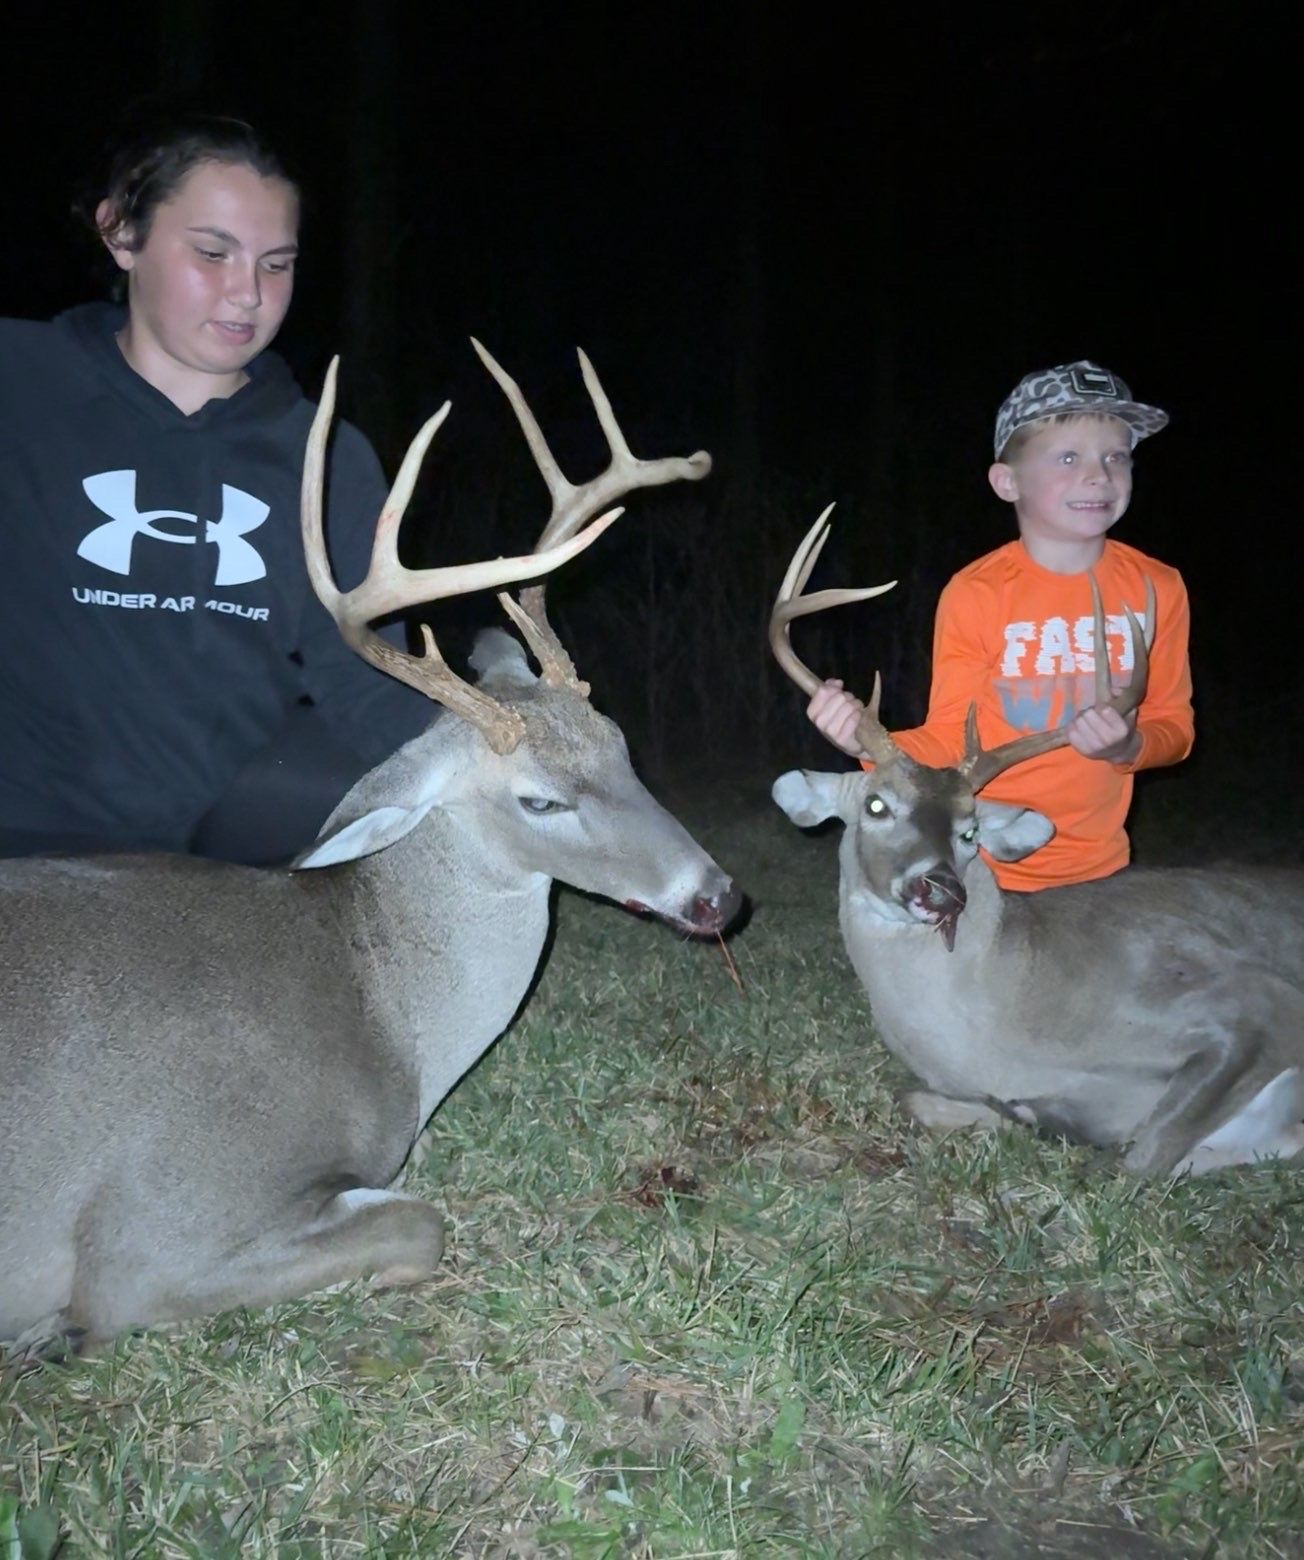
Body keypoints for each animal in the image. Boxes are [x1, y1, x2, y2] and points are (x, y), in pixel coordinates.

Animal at [0, 341, 741, 1351]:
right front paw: (49, 1337)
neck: (385, 1010)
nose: (719, 896)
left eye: (623, 744)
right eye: (540, 800)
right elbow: (419, 1220)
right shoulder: (152, 1232)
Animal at [768, 509, 1304, 1178]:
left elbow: (1139, 1156)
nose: (938, 889)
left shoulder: (1255, 1002)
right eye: (875, 805)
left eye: (970, 831)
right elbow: (917, 1098)